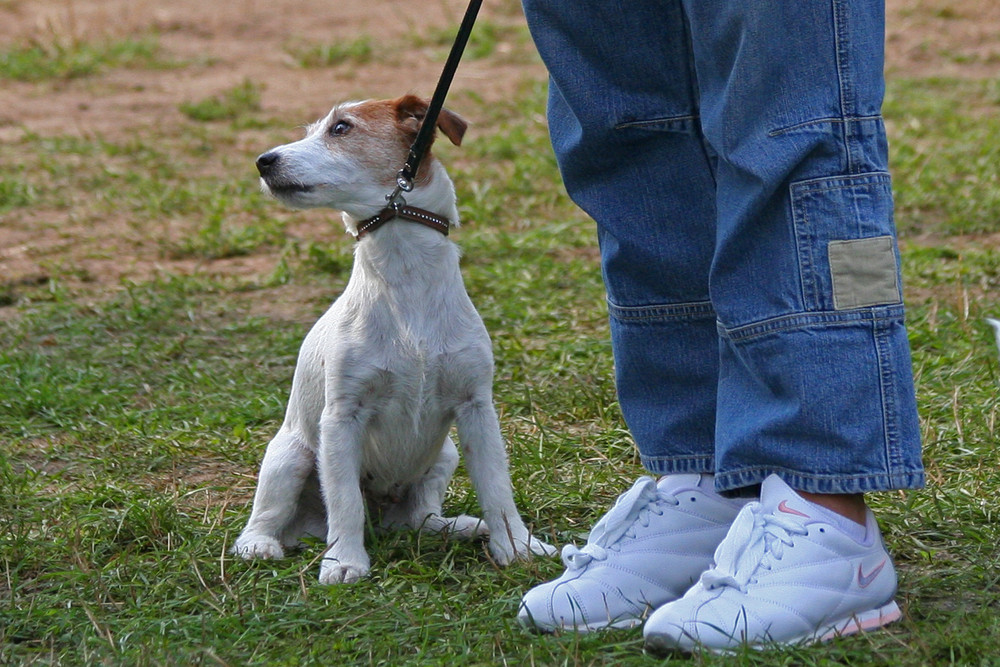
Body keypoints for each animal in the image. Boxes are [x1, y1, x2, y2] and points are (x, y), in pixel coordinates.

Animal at [233, 95, 556, 584]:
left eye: (341, 128)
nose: (262, 161)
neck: (406, 278)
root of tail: (384, 518)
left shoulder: (477, 407)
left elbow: (497, 488)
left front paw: (516, 546)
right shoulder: (341, 417)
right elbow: (344, 500)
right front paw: (344, 561)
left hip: (444, 455)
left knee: (421, 516)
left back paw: (459, 526)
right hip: (291, 456)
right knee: (271, 515)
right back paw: (260, 545)